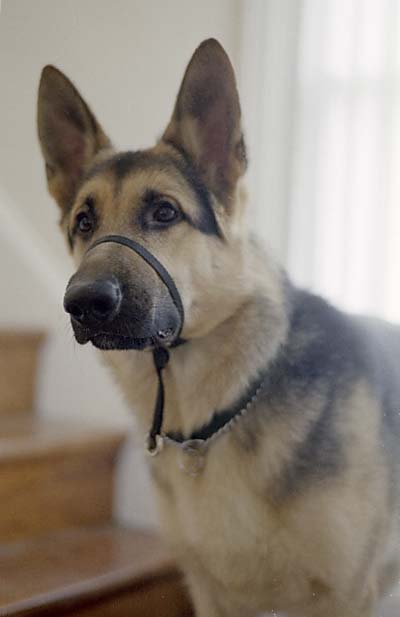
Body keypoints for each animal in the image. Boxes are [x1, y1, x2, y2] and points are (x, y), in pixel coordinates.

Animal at [36, 39, 400, 616]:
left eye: (165, 212)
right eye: (84, 223)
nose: (83, 302)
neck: (210, 420)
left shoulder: (344, 597)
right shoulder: (213, 594)